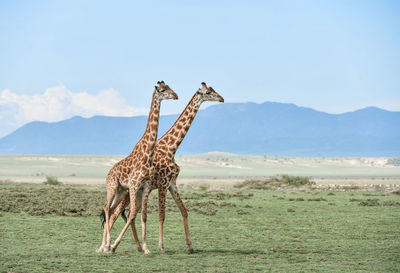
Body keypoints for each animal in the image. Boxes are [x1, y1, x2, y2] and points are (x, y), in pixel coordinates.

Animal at [96, 81, 177, 253]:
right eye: (162, 90)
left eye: (170, 86)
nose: (176, 95)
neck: (147, 154)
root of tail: (108, 173)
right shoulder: (134, 185)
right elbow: (132, 213)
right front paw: (114, 246)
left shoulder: (145, 186)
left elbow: (143, 215)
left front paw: (146, 248)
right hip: (112, 187)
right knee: (106, 208)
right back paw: (106, 245)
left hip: (120, 191)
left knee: (110, 209)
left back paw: (104, 246)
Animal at [106, 82, 223, 253]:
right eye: (208, 92)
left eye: (213, 89)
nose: (221, 98)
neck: (171, 148)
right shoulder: (163, 183)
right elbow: (161, 215)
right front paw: (161, 247)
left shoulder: (172, 183)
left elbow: (184, 211)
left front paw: (190, 246)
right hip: (127, 191)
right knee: (115, 213)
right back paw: (108, 246)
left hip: (134, 192)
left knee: (125, 213)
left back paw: (133, 246)